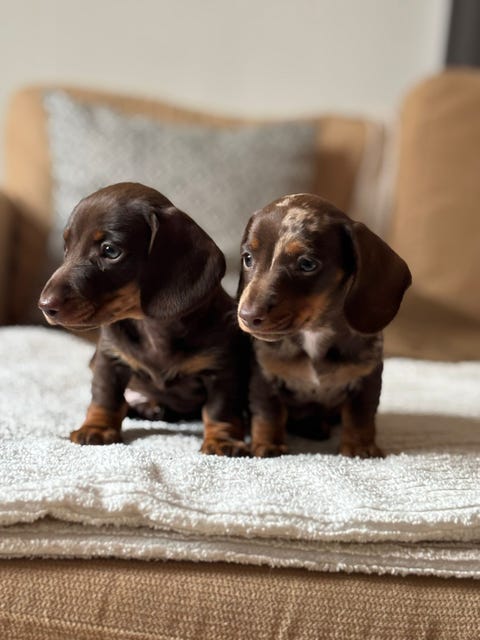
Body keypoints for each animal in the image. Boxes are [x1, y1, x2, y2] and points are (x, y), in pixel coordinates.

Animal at [38, 182, 249, 456]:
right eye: (66, 247)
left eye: (110, 251)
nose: (44, 306)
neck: (153, 327)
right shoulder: (110, 359)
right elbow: (105, 396)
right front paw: (97, 427)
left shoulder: (220, 370)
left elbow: (219, 410)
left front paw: (222, 439)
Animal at [237, 193, 411, 458]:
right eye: (248, 258)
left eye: (307, 264)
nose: (247, 316)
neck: (314, 333)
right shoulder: (264, 377)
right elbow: (267, 413)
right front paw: (267, 444)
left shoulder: (367, 378)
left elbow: (361, 416)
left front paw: (360, 447)